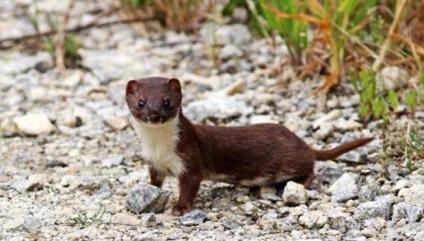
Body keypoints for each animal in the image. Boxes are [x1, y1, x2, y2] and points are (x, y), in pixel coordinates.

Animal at [124, 76, 372, 216]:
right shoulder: (153, 162)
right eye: (141, 102)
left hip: (290, 161)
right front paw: (149, 192)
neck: (159, 147)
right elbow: (155, 181)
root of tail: (301, 142)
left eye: (167, 102)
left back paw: (297, 184)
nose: (154, 115)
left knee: (310, 168)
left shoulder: (189, 157)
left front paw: (180, 208)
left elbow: (190, 185)